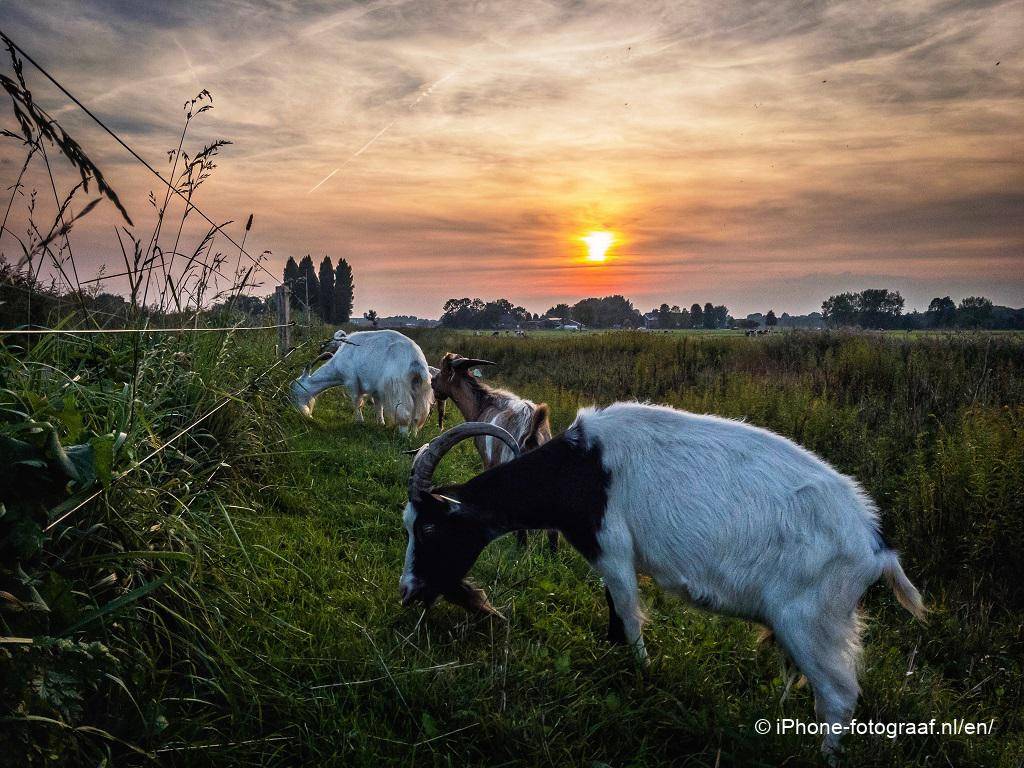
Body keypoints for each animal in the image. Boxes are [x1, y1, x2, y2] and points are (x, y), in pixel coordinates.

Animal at [290, 327, 434, 434]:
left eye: (294, 390)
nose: (300, 413)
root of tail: (416, 361)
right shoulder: (376, 389)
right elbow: (378, 405)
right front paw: (380, 423)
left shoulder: (351, 380)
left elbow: (356, 401)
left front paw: (359, 422)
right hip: (420, 388)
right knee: (418, 416)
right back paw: (413, 435)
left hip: (398, 387)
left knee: (405, 412)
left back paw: (403, 436)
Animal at [399, 403, 929, 757]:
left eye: (428, 528)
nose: (408, 591)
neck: (582, 469)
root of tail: (875, 547)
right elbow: (614, 617)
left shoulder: (613, 550)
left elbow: (629, 618)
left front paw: (643, 676)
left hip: (812, 621)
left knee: (838, 697)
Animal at [432, 354, 561, 552]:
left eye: (443, 369)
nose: (432, 381)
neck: (483, 405)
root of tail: (531, 432)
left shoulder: (488, 460)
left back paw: (520, 548)